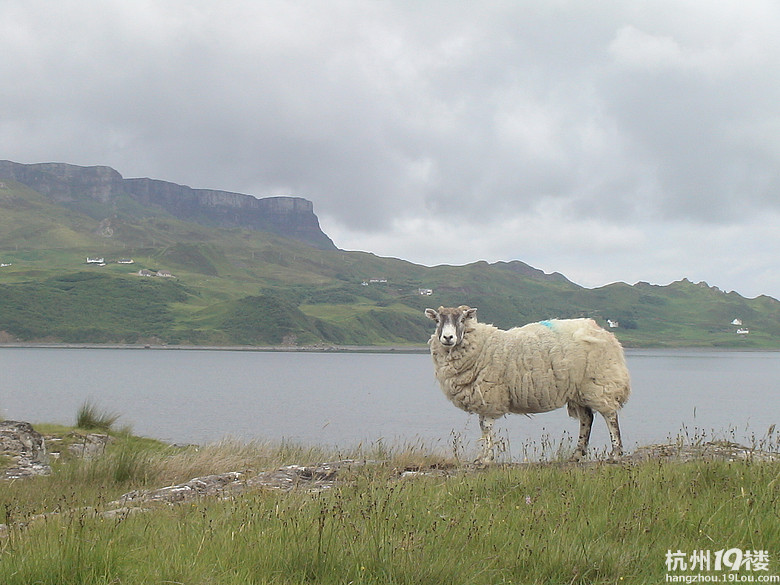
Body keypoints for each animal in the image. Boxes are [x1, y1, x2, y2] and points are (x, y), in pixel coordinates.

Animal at [424, 306, 632, 460]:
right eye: (438, 321)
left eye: (461, 320)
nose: (448, 337)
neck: (481, 344)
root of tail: (603, 332)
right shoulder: (484, 398)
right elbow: (483, 427)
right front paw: (483, 457)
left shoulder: (491, 395)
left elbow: (487, 427)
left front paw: (486, 459)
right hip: (578, 390)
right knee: (587, 418)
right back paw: (577, 454)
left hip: (600, 382)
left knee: (610, 416)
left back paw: (615, 453)